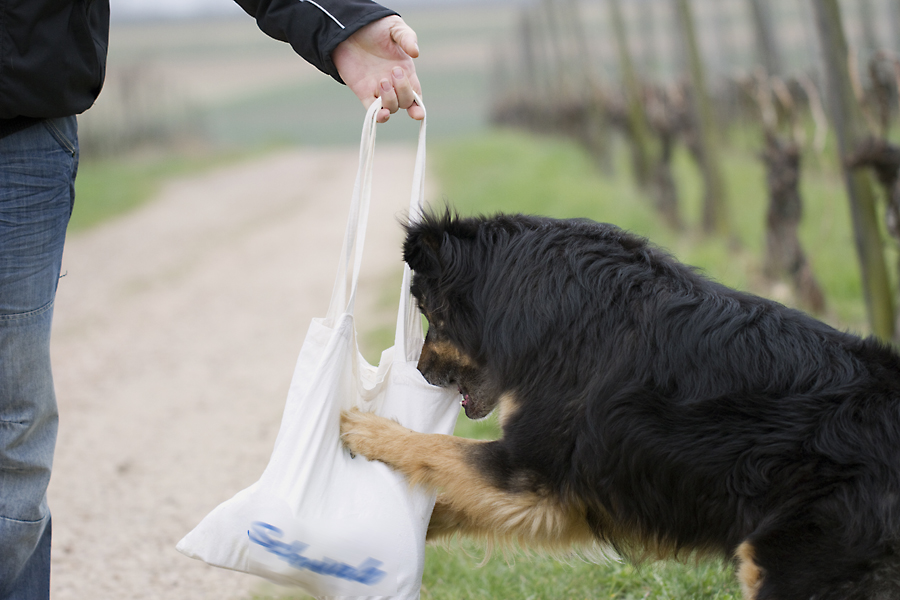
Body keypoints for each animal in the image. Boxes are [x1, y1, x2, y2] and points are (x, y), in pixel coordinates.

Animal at [342, 213, 900, 596]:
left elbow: (431, 447)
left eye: (428, 314)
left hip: (795, 560)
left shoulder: (530, 474)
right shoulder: (562, 501)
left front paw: (365, 429)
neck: (535, 302)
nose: (421, 372)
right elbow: (444, 502)